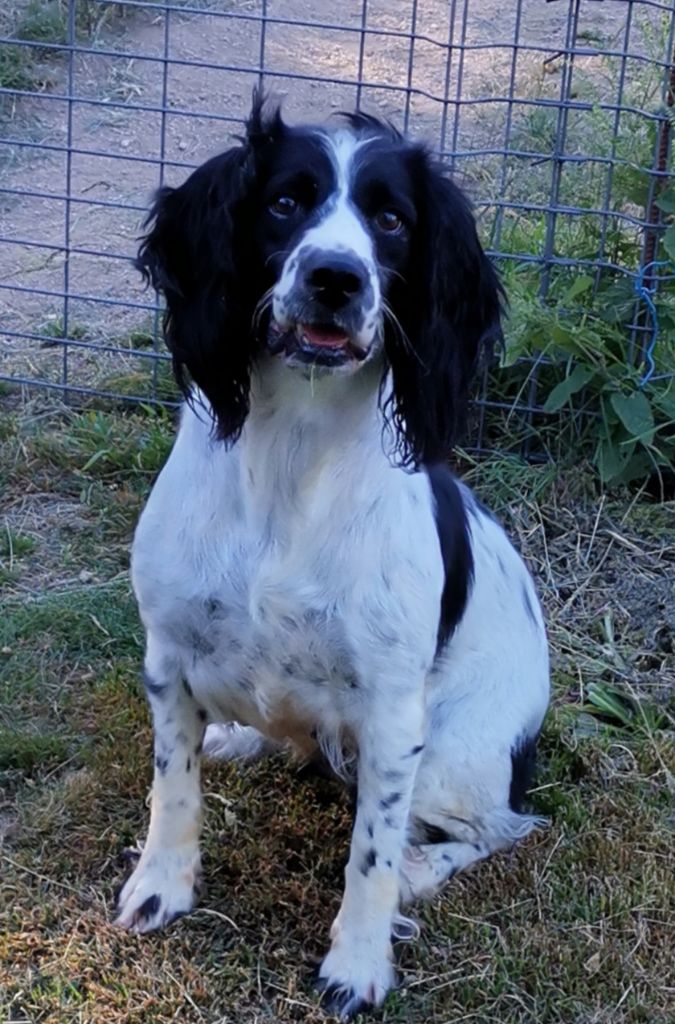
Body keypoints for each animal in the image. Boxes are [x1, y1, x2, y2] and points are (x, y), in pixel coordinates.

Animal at [115, 93, 549, 1019]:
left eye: (390, 220)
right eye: (284, 202)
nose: (335, 279)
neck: (291, 456)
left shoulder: (391, 715)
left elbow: (370, 856)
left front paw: (357, 964)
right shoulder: (168, 654)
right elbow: (173, 788)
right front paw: (162, 886)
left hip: (453, 759)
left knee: (494, 827)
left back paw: (424, 868)